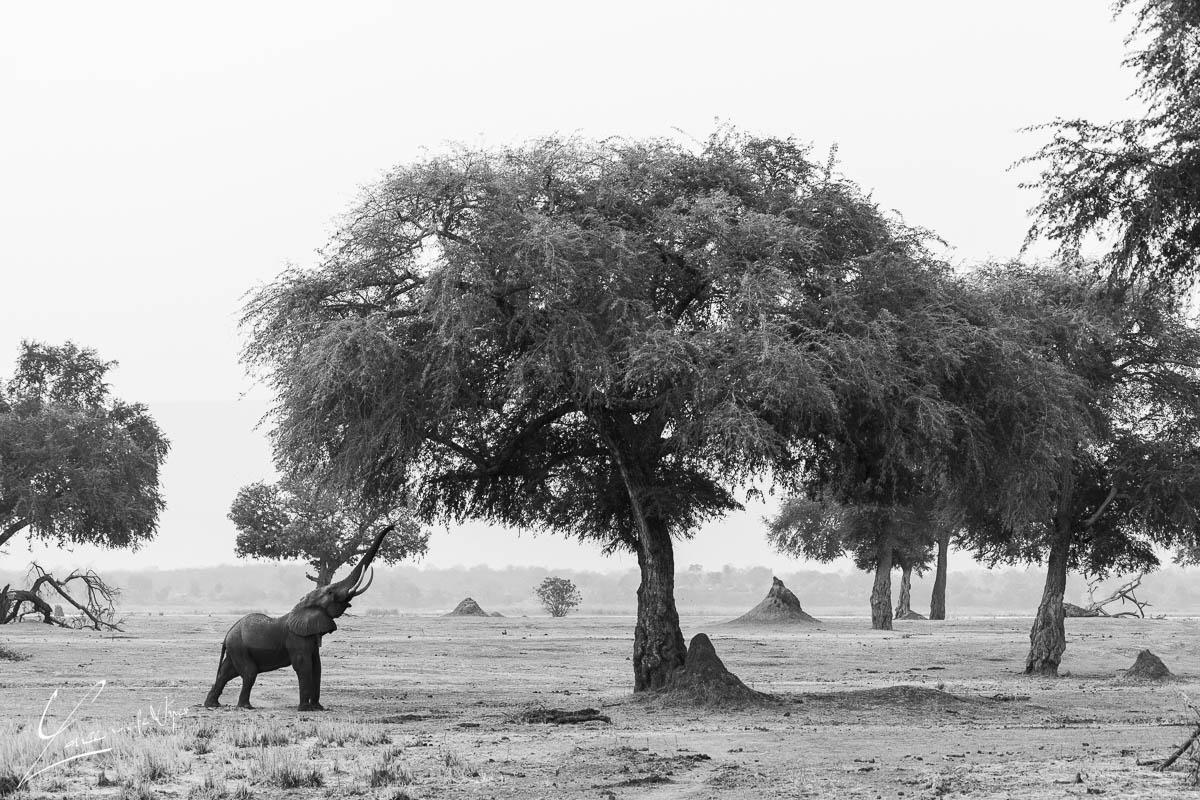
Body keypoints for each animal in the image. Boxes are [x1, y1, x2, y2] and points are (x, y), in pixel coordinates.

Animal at [202, 525, 393, 714]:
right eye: (330, 592)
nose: (392, 526)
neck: (302, 606)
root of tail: (227, 635)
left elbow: (317, 667)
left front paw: (318, 708)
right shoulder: (296, 637)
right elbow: (304, 666)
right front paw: (305, 710)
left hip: (236, 648)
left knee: (226, 673)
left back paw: (212, 705)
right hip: (239, 647)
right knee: (249, 672)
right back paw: (245, 707)